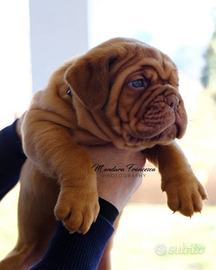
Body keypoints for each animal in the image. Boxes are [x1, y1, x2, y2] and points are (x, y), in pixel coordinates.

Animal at [0, 38, 208, 270]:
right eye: (138, 83)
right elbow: (75, 155)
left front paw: (187, 189)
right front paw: (80, 203)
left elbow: (172, 150)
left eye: (176, 84)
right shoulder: (40, 123)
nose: (175, 100)